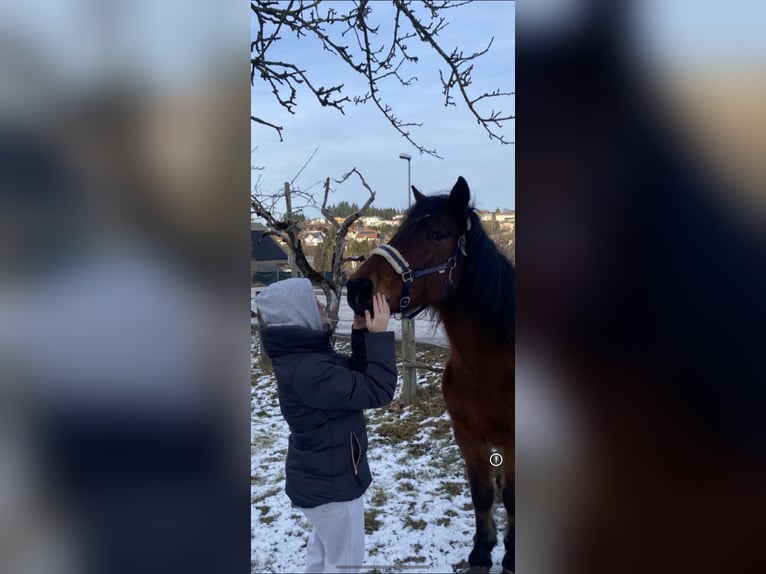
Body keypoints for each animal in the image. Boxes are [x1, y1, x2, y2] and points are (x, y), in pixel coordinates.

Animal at [347, 176, 515, 573]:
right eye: (399, 229)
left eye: (437, 234)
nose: (357, 289)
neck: (488, 368)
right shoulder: (467, 436)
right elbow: (483, 494)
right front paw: (482, 552)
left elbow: (513, 498)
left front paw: (512, 556)